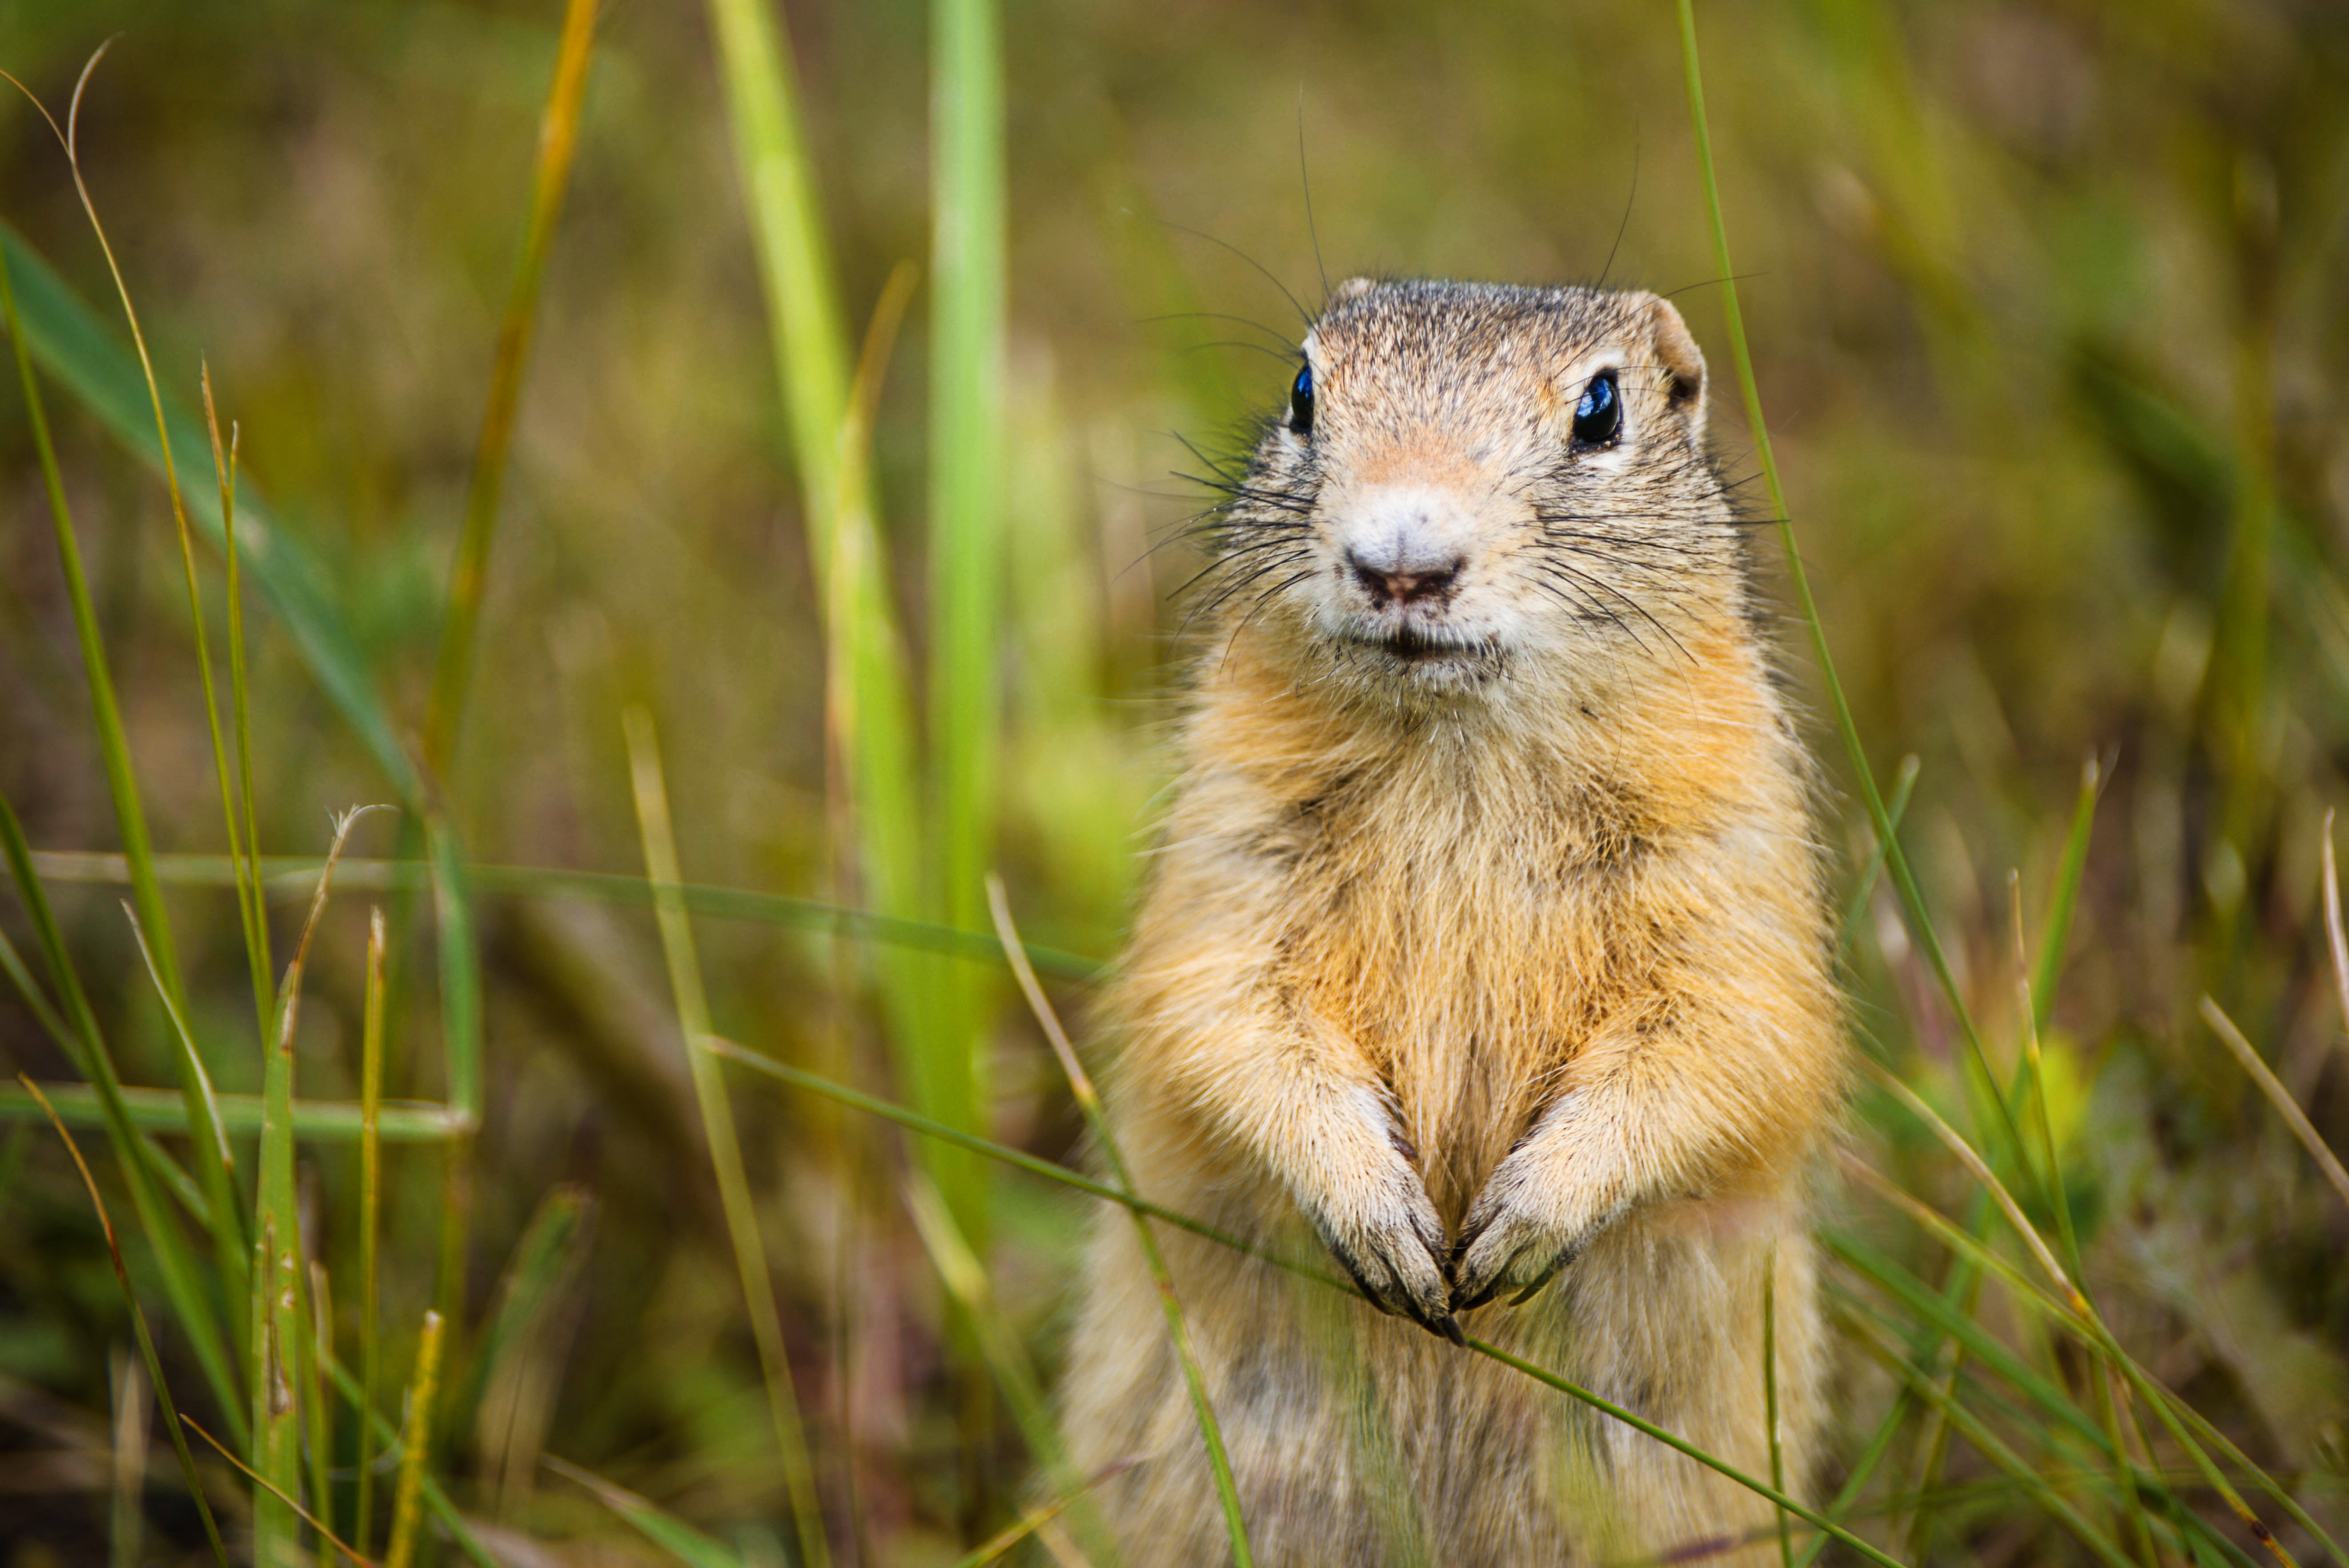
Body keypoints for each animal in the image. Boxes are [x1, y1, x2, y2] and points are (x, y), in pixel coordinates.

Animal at [1066, 276, 1851, 1558]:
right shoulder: (1227, 849)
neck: (1458, 758)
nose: (1401, 562)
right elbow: (1218, 1012)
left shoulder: (1733, 864)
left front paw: (1513, 1228)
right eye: (1302, 390)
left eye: (1600, 408)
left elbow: (1724, 1040)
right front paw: (1386, 1230)